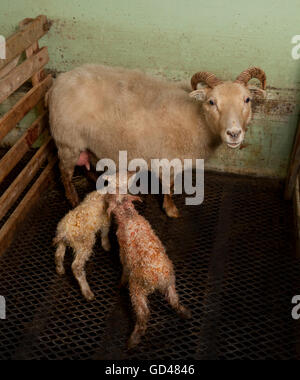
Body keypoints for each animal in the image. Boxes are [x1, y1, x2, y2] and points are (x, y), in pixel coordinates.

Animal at [47, 64, 268, 217]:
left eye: (247, 99)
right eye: (211, 102)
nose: (234, 133)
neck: (197, 119)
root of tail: (58, 82)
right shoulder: (166, 162)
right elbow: (168, 188)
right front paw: (171, 210)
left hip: (86, 143)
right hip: (67, 141)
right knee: (64, 173)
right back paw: (73, 198)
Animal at [105, 194, 190, 348]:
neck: (129, 215)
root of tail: (158, 277)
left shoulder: (124, 256)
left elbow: (124, 271)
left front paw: (120, 284)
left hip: (137, 289)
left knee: (143, 314)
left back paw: (133, 340)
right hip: (170, 283)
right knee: (174, 300)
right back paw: (185, 313)